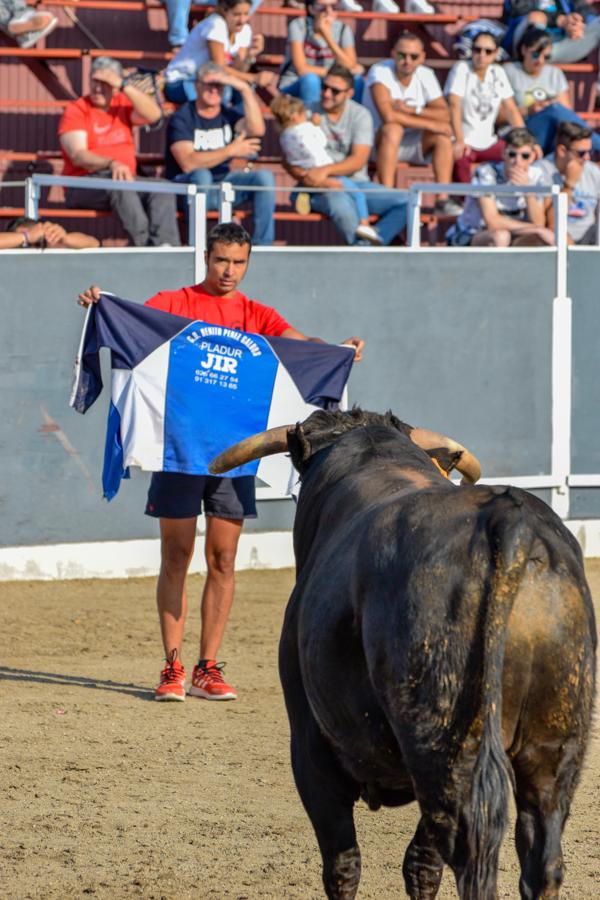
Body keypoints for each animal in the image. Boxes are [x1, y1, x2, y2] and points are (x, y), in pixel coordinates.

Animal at [210, 412, 596, 900]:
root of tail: (506, 519)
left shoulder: (310, 749)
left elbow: (342, 864)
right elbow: (420, 862)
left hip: (446, 745)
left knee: (471, 855)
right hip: (556, 743)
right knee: (538, 857)